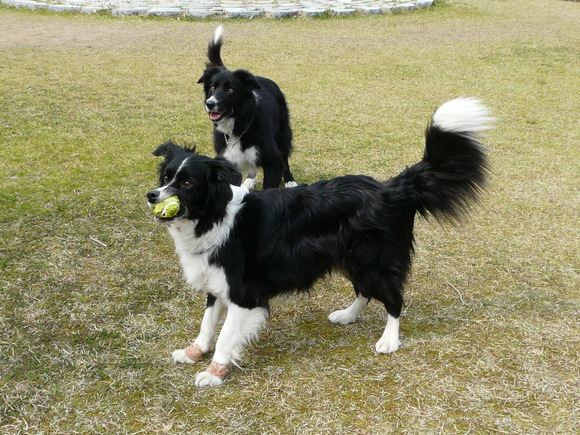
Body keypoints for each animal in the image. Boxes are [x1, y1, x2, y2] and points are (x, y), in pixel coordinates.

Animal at [147, 99, 492, 388]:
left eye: (187, 183)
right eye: (165, 178)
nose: (152, 195)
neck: (215, 217)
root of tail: (392, 188)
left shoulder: (244, 293)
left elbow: (225, 336)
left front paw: (214, 372)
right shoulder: (217, 283)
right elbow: (207, 324)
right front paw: (193, 353)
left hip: (374, 260)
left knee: (394, 298)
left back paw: (389, 340)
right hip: (351, 258)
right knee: (364, 291)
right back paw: (348, 316)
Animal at [199, 25, 300, 191]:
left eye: (230, 90)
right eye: (213, 87)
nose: (210, 104)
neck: (239, 125)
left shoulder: (272, 161)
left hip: (282, 133)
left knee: (284, 156)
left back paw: (290, 181)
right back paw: (250, 180)